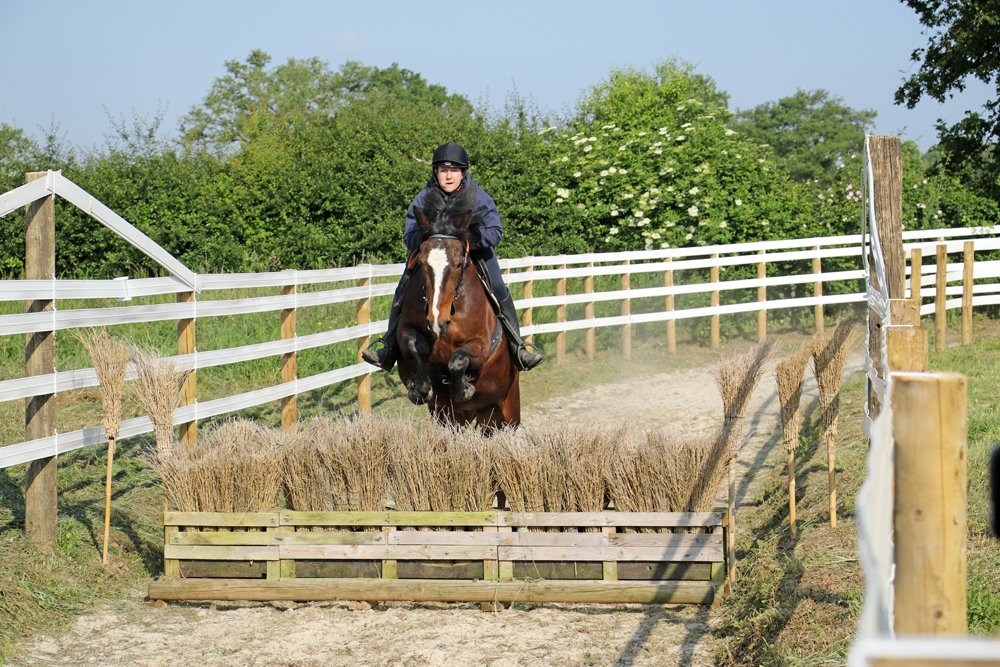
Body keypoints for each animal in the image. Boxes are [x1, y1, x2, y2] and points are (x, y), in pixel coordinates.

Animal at [395, 188, 520, 432]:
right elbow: (415, 345)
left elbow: (458, 360)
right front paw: (420, 388)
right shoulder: (404, 332)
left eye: (458, 264)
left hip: (507, 414)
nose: (437, 320)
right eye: (422, 263)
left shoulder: (480, 345)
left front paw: (463, 389)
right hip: (449, 417)